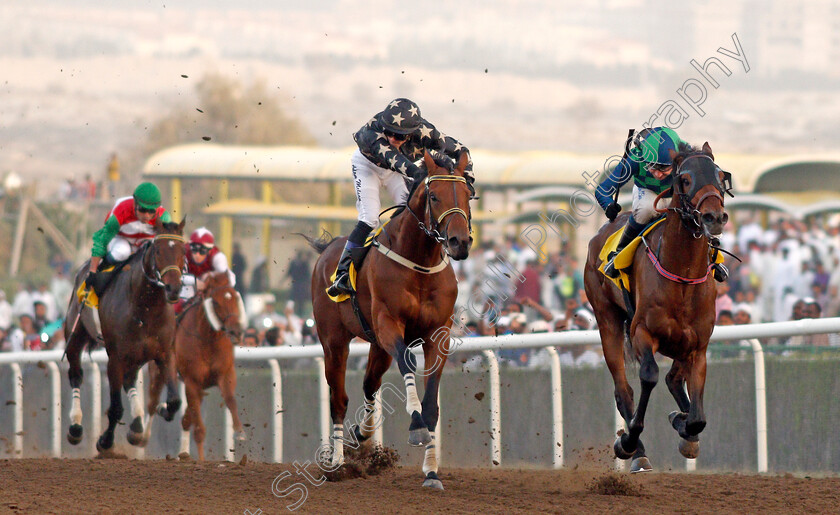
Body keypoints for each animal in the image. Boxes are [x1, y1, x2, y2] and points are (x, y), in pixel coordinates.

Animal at [64, 220, 185, 454]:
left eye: (183, 251)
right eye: (158, 251)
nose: (173, 288)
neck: (145, 308)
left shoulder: (166, 353)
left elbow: (175, 400)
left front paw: (162, 408)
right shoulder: (116, 358)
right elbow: (115, 408)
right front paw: (104, 441)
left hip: (136, 355)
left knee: (130, 380)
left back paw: (137, 425)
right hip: (75, 335)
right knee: (76, 375)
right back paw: (75, 427)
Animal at [306, 150, 472, 492]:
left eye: (468, 195)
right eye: (434, 196)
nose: (459, 242)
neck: (419, 262)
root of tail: (329, 248)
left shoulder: (438, 334)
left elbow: (432, 403)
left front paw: (432, 472)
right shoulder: (388, 324)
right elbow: (408, 362)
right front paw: (416, 426)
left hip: (378, 348)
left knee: (370, 385)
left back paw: (363, 433)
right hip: (334, 341)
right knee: (339, 399)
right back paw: (338, 463)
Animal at [584, 143, 728, 474]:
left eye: (720, 175)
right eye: (685, 180)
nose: (714, 217)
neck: (683, 275)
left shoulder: (698, 345)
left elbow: (698, 417)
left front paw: (685, 427)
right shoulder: (642, 332)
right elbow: (648, 376)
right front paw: (628, 442)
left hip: (680, 343)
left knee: (674, 380)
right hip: (607, 320)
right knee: (623, 390)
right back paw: (637, 451)